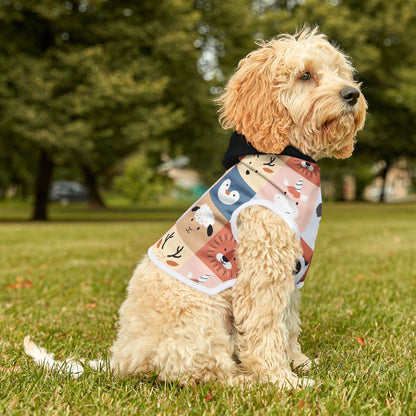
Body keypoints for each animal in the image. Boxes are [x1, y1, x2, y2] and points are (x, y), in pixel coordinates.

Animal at [24, 27, 366, 388]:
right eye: (305, 75)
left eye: (340, 72)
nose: (352, 94)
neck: (291, 156)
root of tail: (122, 358)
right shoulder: (263, 271)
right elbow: (266, 328)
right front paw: (281, 380)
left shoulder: (292, 271)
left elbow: (288, 323)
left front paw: (299, 362)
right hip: (202, 317)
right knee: (201, 371)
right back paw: (244, 380)